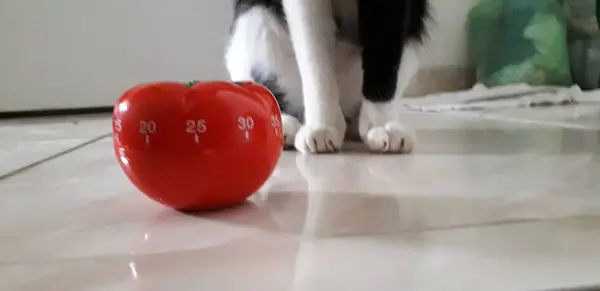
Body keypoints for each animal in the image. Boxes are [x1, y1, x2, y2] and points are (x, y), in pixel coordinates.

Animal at [224, 0, 426, 154]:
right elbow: (316, 57)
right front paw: (322, 126)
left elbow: (384, 52)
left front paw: (382, 125)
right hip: (255, 20)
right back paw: (282, 126)